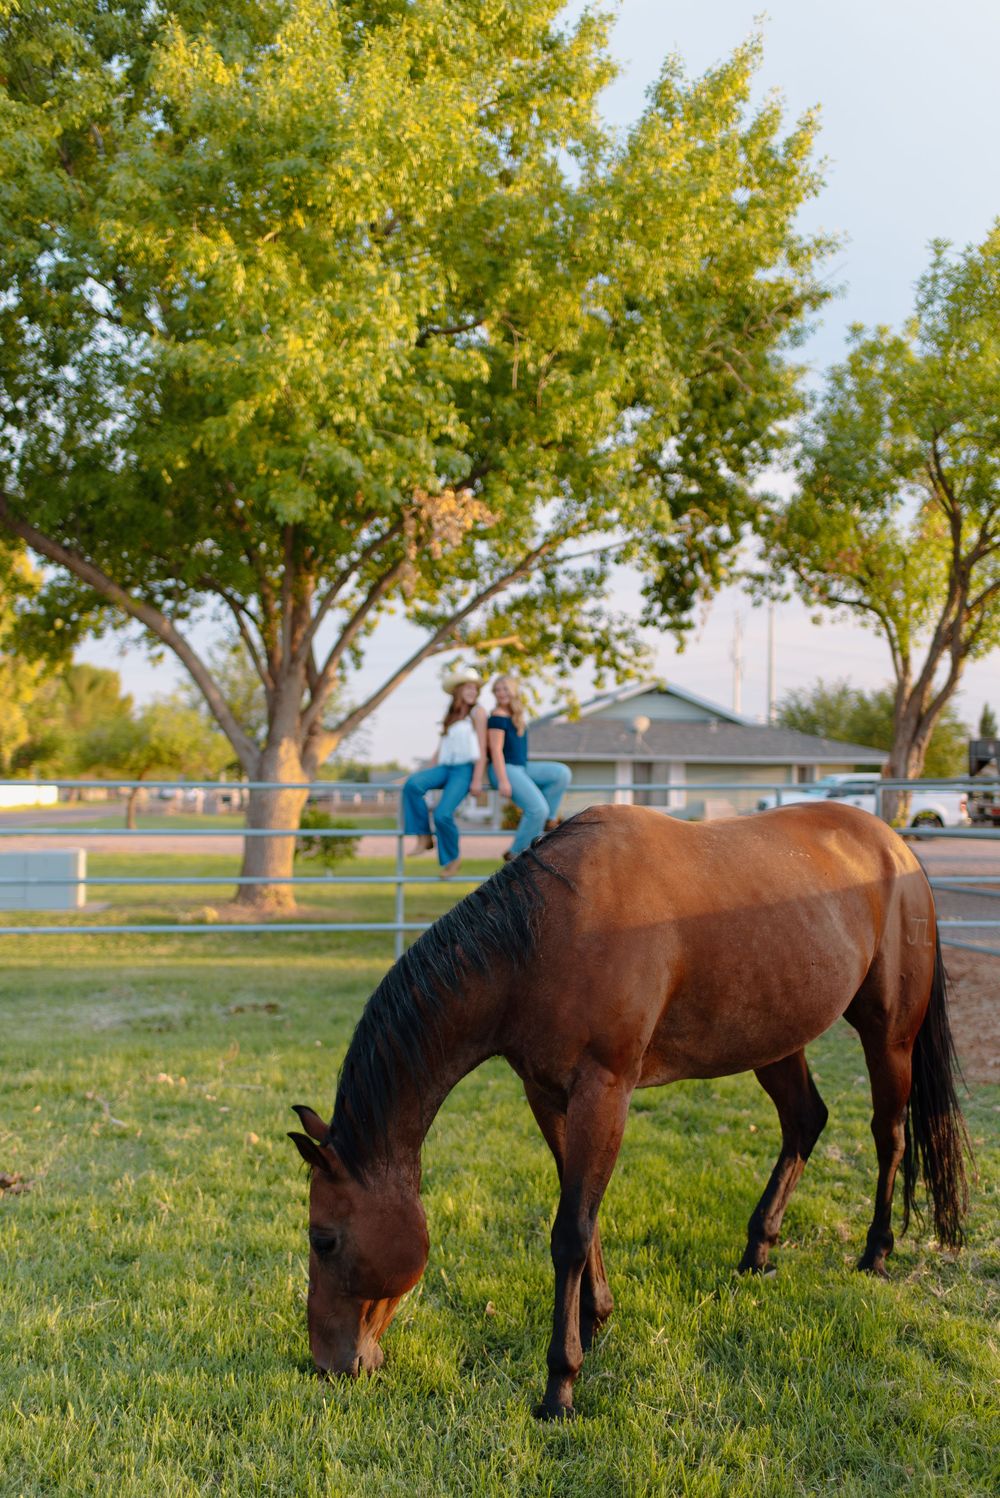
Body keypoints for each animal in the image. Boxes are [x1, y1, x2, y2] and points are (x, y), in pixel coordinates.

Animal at [287, 802, 969, 1420]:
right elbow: (581, 1214)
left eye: (324, 1239)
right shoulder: (548, 1096)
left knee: (889, 1136)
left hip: (889, 1037)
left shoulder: (604, 1091)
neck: (541, 939)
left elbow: (570, 1231)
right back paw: (758, 1252)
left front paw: (560, 1385)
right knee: (805, 1122)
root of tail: (897, 850)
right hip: (775, 1042)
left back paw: (875, 1253)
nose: (326, 1365)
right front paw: (595, 1321)